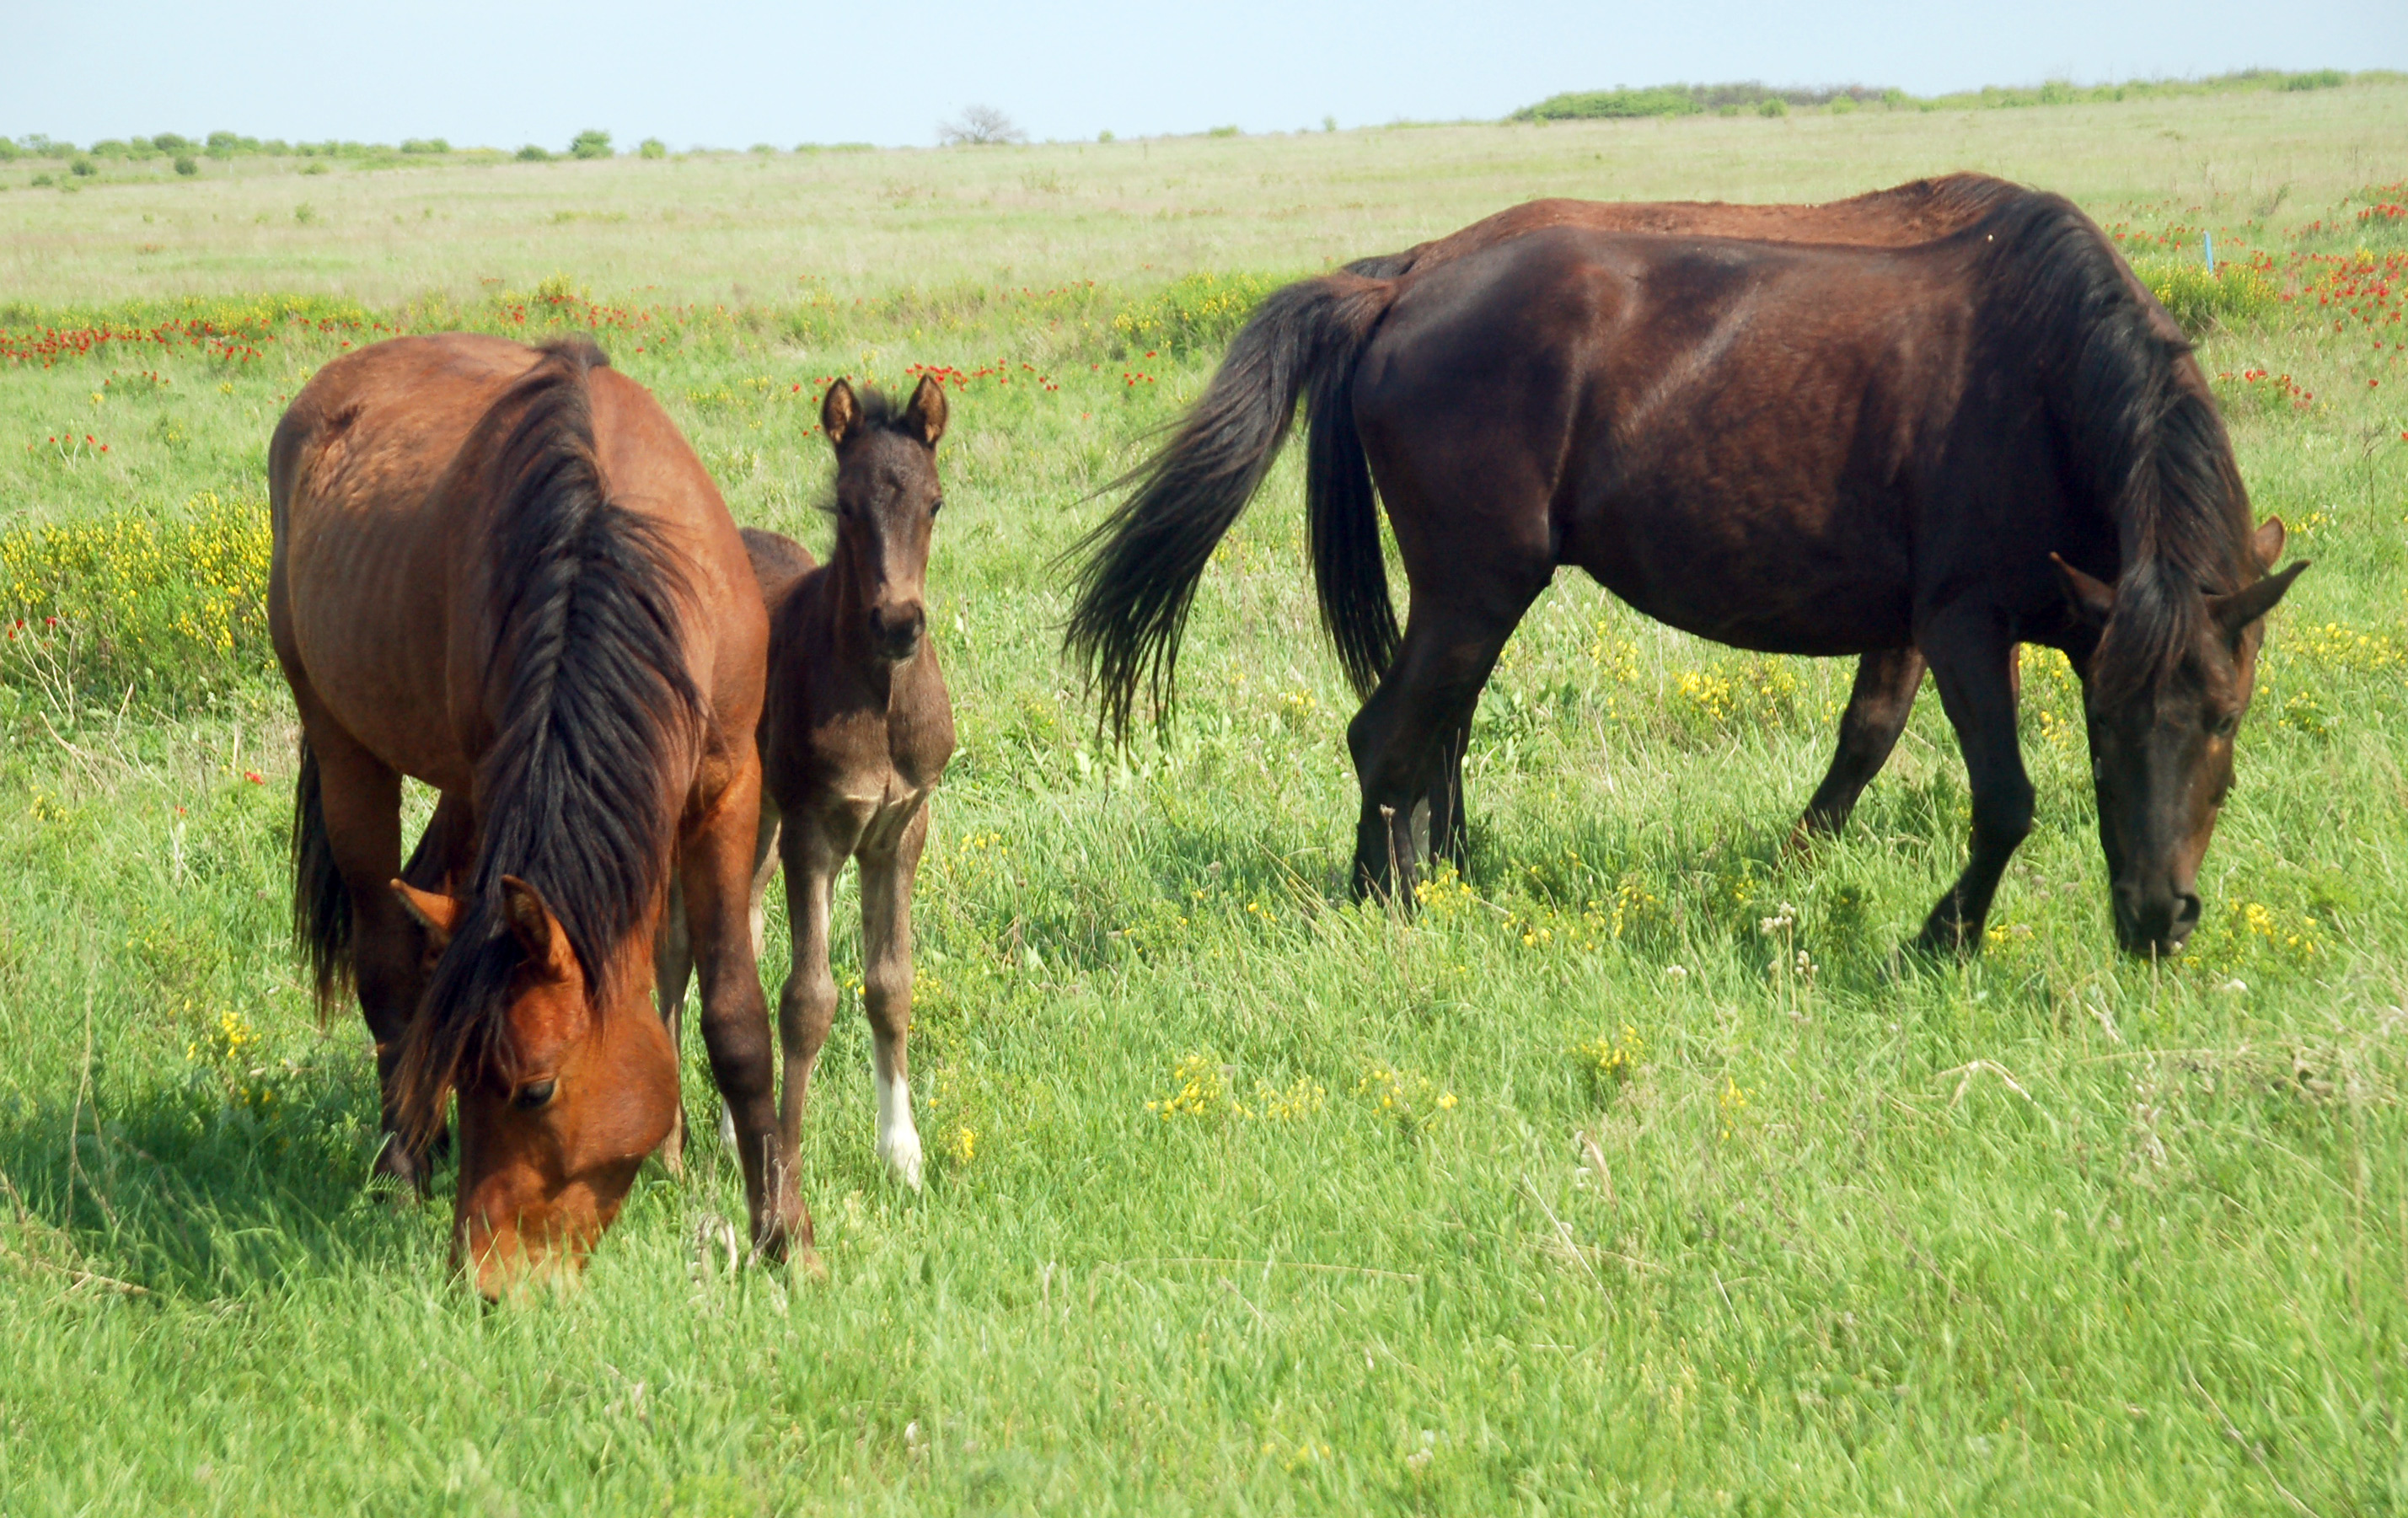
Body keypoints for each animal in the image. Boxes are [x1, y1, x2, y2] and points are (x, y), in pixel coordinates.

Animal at [269, 335, 799, 1301]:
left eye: (535, 1090)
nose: (483, 1285)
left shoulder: (726, 789)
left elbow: (738, 1021)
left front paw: (787, 1238)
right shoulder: (499, 780)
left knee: (423, 909)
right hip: (349, 744)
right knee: (386, 958)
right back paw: (400, 1172)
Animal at [664, 375, 963, 1194]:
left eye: (934, 502)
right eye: (847, 505)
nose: (898, 623)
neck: (880, 698)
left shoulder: (902, 827)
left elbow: (890, 983)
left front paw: (902, 1155)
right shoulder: (816, 831)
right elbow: (807, 999)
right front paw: (784, 1164)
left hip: (757, 818)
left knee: (736, 928)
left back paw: (729, 1130)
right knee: (673, 947)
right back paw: (667, 1145)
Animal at [1064, 184, 2302, 958]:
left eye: (2228, 718)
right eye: (2103, 724)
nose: (2159, 918)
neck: (2042, 376)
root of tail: (1402, 283)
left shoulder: (1913, 623)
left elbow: (1864, 741)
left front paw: (1799, 863)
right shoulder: (1963, 621)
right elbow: (2003, 800)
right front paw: (1942, 937)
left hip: (1470, 599)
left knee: (1428, 736)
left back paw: (1434, 881)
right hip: (1477, 587)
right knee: (1389, 736)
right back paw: (1390, 905)